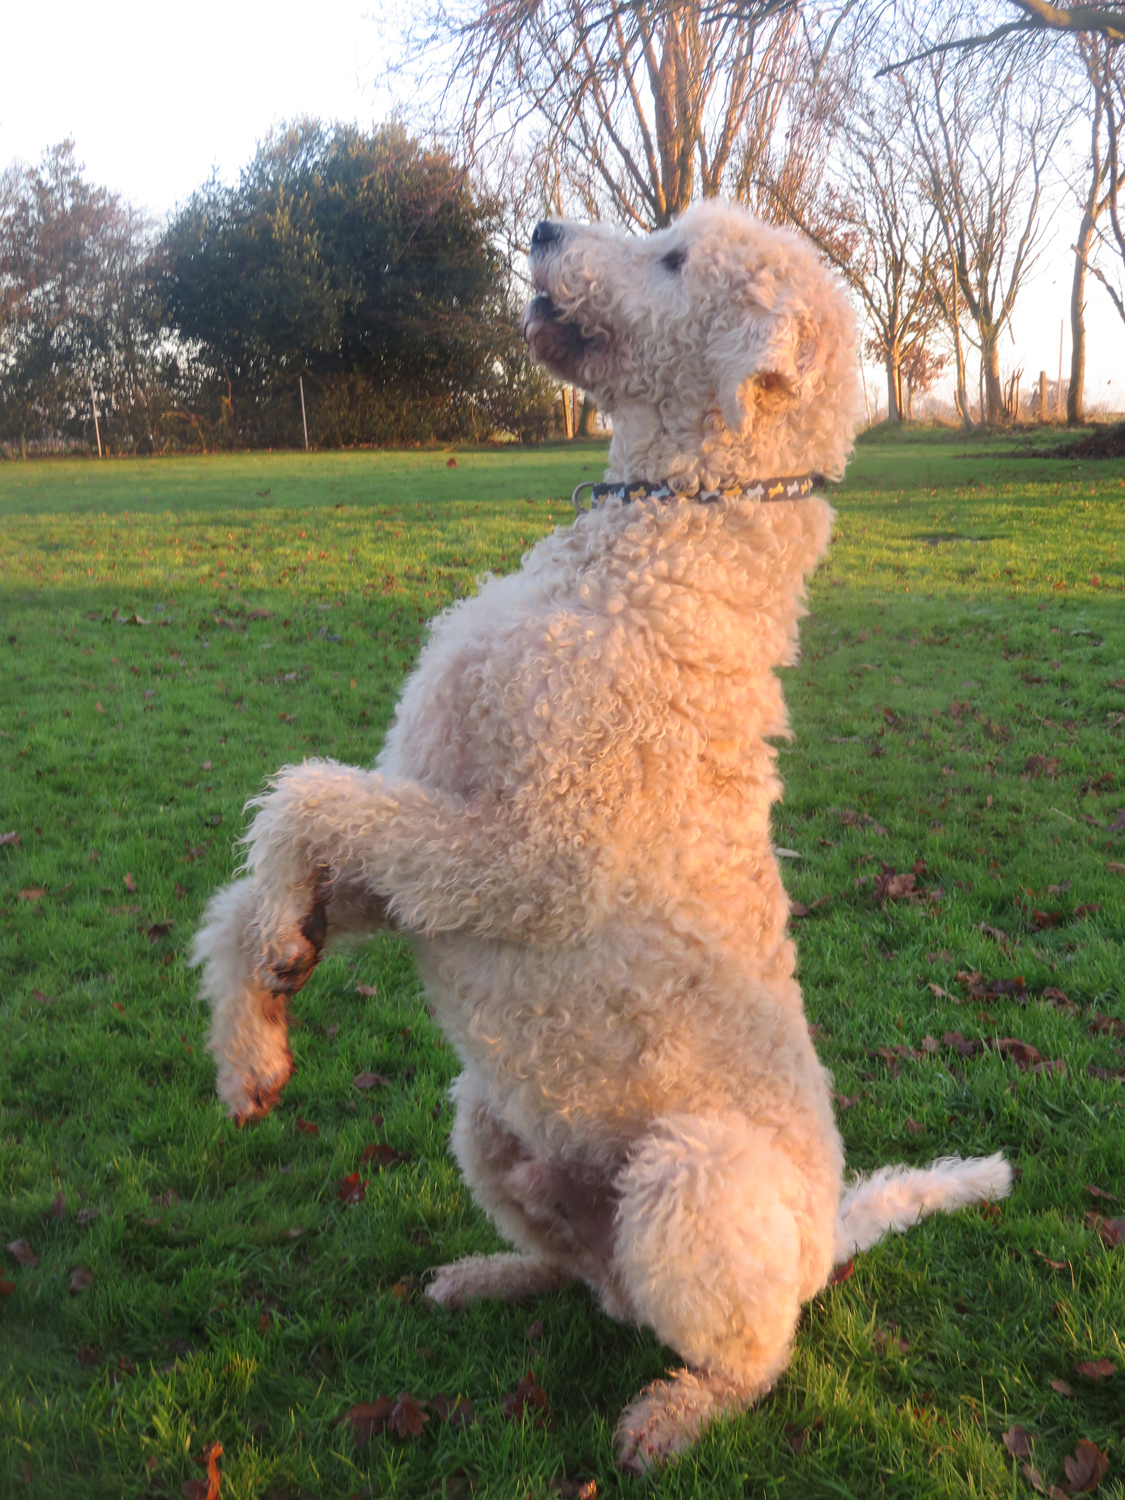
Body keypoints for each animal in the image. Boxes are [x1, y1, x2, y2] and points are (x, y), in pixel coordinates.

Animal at [192, 202, 1014, 1476]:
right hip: (487, 1127)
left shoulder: (524, 855)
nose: (537, 226)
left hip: (689, 1180)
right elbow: (269, 869)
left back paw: (673, 1416)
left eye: (674, 259)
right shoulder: (433, 837)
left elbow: (309, 800)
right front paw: (256, 1036)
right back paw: (494, 1275)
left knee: (748, 1352)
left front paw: (279, 960)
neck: (660, 549)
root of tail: (822, 1239)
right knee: (586, 1279)